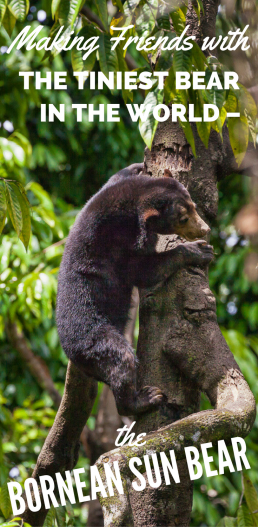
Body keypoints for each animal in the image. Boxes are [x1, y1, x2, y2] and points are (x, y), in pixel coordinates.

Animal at [55, 165, 213, 416]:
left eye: (194, 206)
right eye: (182, 218)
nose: (204, 229)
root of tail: (70, 351)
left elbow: (111, 180)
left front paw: (135, 166)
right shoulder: (118, 242)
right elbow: (144, 270)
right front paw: (199, 251)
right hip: (95, 340)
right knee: (122, 360)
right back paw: (145, 398)